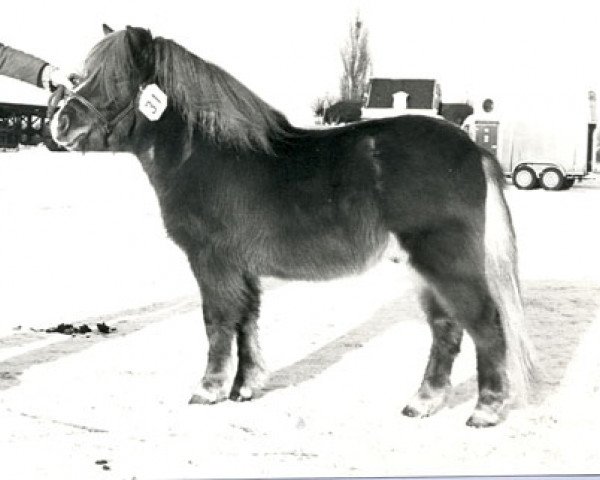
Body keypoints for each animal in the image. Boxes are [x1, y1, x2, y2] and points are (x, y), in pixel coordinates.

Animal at [51, 25, 536, 428]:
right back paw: (423, 402)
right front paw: (244, 388)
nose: (59, 122)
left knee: (486, 325)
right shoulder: (242, 268)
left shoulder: (212, 262)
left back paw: (485, 410)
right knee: (446, 329)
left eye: (114, 81)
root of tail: (473, 150)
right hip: (425, 269)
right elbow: (246, 321)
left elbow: (217, 321)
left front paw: (208, 390)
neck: (209, 156)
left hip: (446, 263)